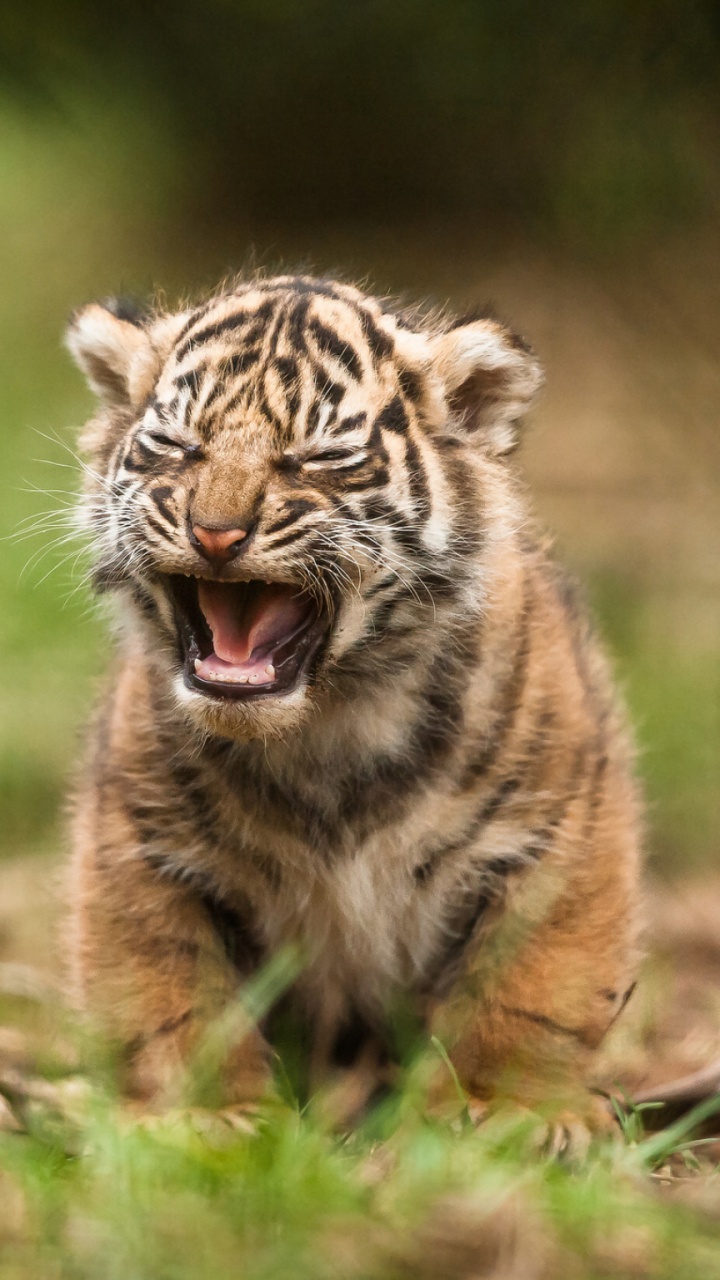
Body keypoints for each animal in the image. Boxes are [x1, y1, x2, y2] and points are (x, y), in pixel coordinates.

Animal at [64, 273, 641, 1146]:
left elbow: (533, 984)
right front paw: (207, 1114)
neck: (327, 721)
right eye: (176, 447)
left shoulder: (560, 827)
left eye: (318, 459)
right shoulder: (137, 841)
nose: (215, 533)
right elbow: (170, 996)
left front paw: (511, 1112)